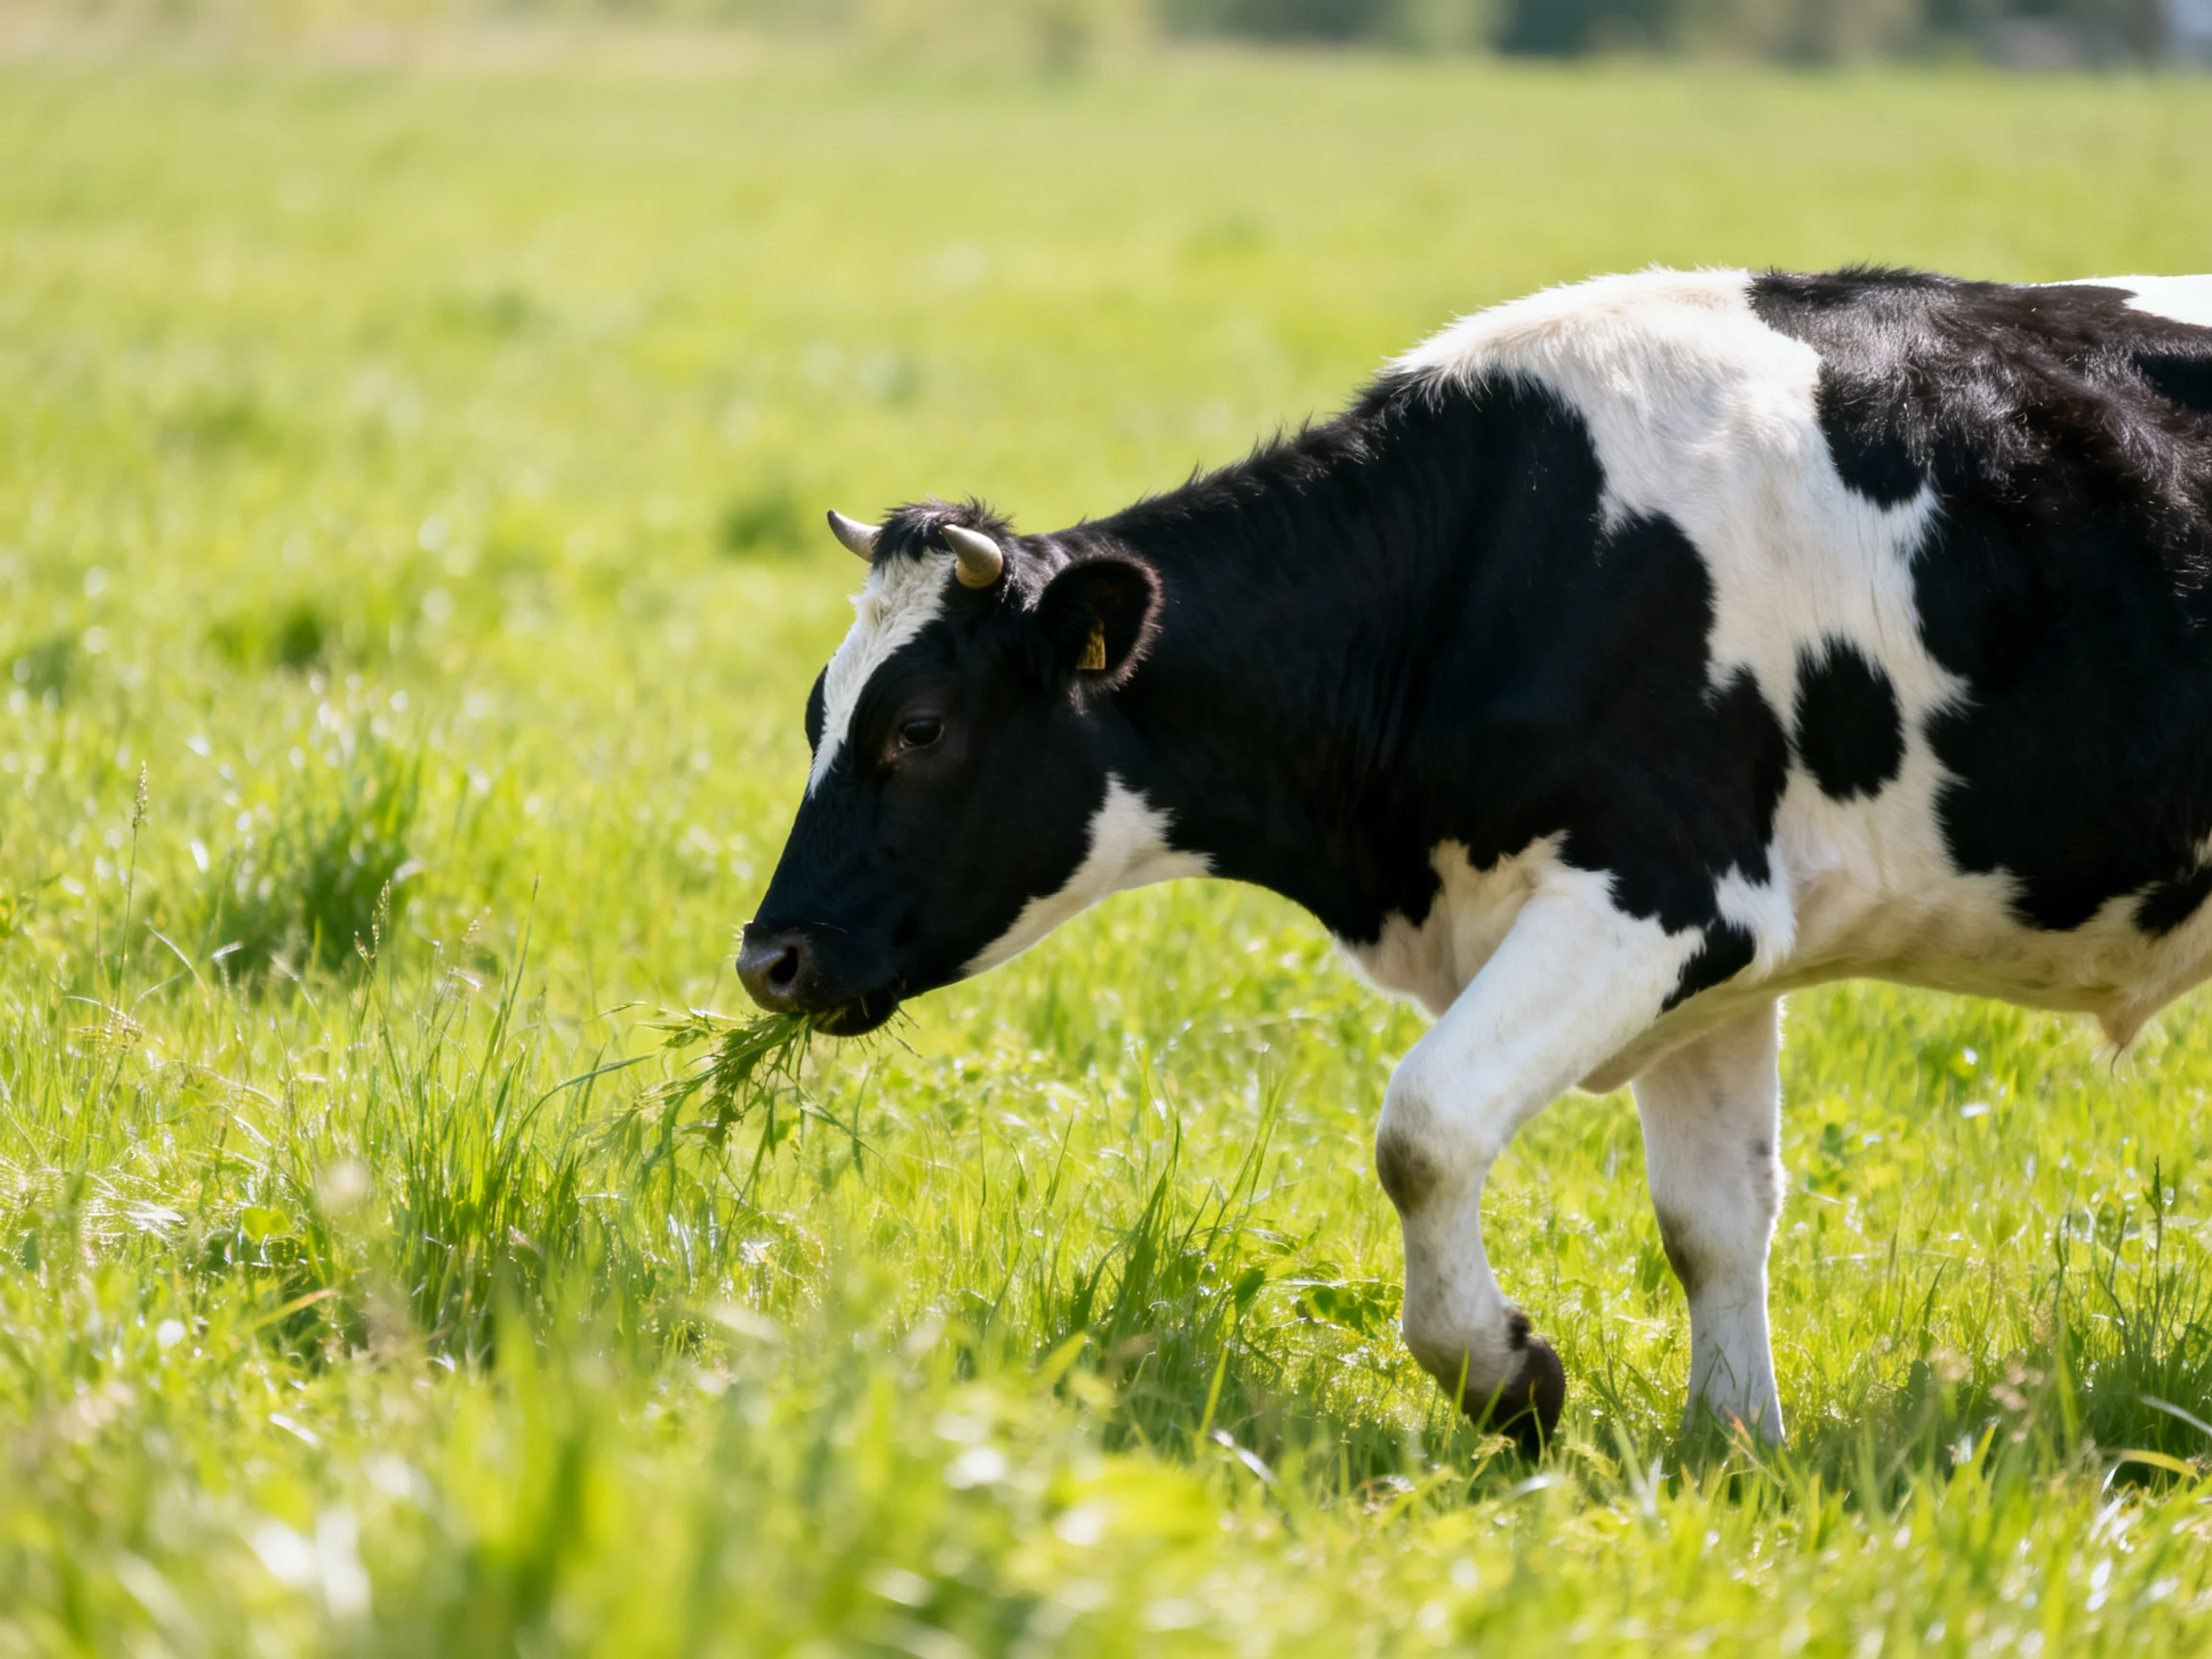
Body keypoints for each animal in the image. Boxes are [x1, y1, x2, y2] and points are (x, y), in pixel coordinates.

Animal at [736, 266, 2212, 1450]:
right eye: (816, 711)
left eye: (920, 726)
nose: (768, 959)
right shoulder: (1729, 963)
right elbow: (1715, 1219)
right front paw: (1736, 1450)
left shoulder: (1667, 898)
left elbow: (1425, 1128)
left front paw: (1506, 1381)